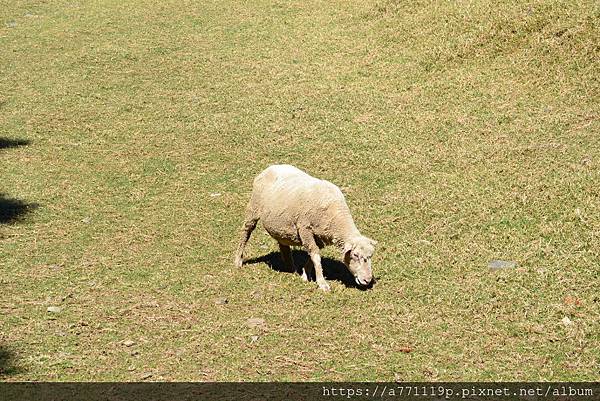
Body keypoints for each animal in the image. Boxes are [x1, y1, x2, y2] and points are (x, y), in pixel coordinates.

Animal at [233, 163, 378, 290]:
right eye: (355, 255)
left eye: (370, 256)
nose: (367, 280)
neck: (335, 215)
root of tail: (271, 167)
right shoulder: (305, 229)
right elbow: (315, 256)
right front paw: (322, 283)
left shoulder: (319, 237)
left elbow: (312, 255)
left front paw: (305, 274)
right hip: (253, 208)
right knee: (245, 232)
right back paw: (238, 261)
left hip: (281, 224)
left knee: (283, 244)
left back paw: (291, 268)